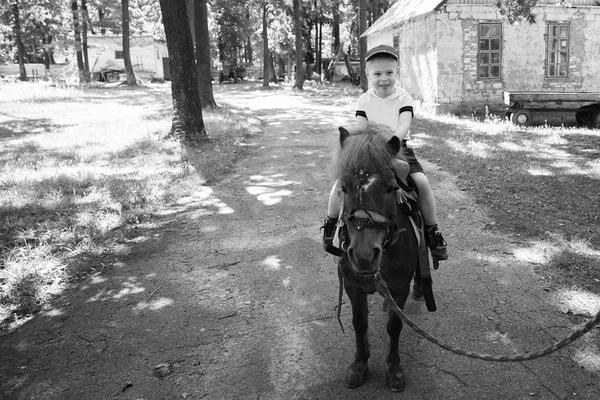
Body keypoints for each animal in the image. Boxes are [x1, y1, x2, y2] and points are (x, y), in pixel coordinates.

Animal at [330, 122, 420, 390]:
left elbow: (395, 325)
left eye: (391, 188)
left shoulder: (399, 288)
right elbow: (359, 324)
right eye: (343, 188)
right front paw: (359, 365)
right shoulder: (353, 287)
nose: (364, 255)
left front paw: (394, 370)